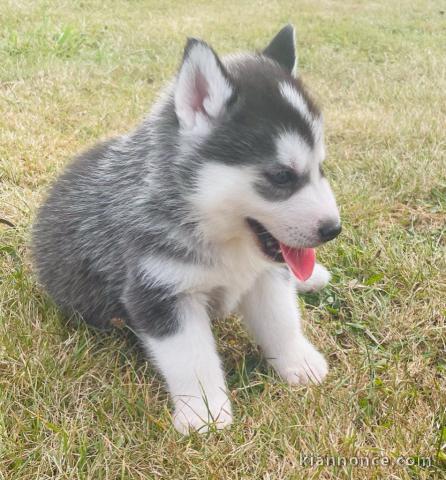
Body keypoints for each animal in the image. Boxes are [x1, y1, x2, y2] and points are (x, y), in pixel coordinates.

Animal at [32, 24, 342, 434]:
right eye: (281, 176)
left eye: (321, 168)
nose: (333, 229)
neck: (220, 235)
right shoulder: (159, 292)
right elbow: (192, 358)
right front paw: (205, 413)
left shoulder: (264, 276)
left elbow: (281, 320)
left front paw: (298, 362)